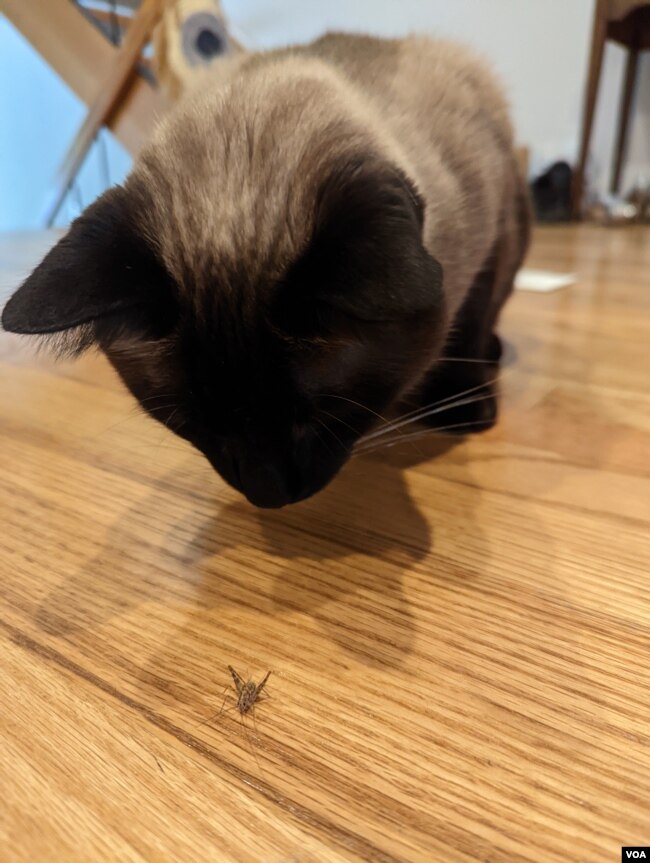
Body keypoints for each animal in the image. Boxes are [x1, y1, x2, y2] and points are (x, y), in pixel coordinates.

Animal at [1, 33, 528, 506]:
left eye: (324, 414)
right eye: (192, 424)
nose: (268, 494)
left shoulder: (493, 236)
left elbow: (469, 324)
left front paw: (462, 404)